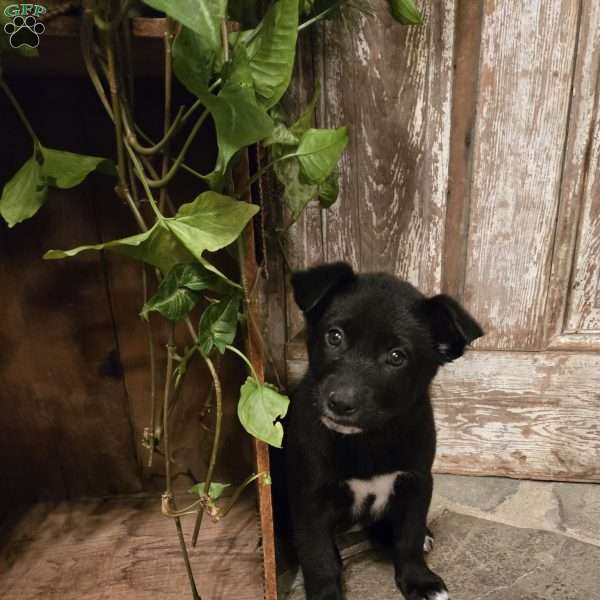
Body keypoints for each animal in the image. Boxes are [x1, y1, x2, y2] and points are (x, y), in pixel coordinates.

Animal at [286, 262, 482, 600]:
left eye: (396, 356)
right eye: (334, 336)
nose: (340, 402)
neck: (368, 440)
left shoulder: (417, 481)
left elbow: (409, 536)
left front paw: (419, 580)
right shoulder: (309, 497)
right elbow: (318, 556)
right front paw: (327, 592)